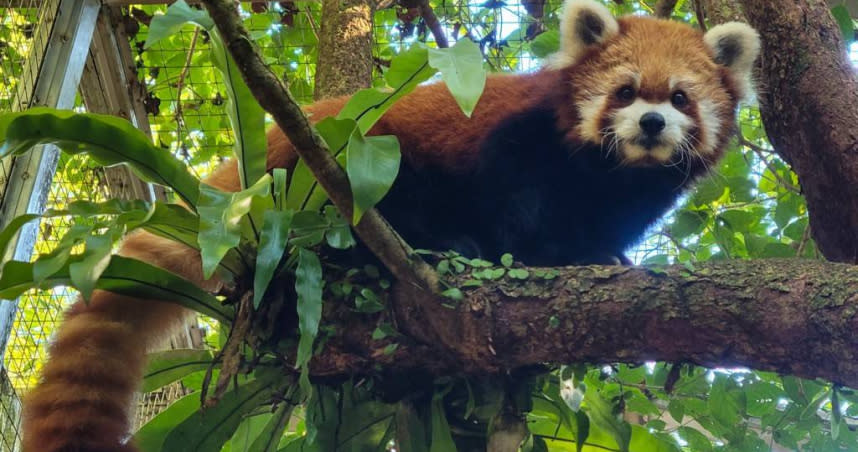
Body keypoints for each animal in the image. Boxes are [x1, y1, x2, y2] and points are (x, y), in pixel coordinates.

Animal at [18, 1, 756, 450]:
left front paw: (603, 260)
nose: (652, 123)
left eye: (680, 97)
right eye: (627, 91)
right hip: (335, 175)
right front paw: (524, 258)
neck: (611, 175)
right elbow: (512, 206)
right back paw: (433, 250)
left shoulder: (627, 199)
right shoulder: (517, 143)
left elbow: (599, 233)